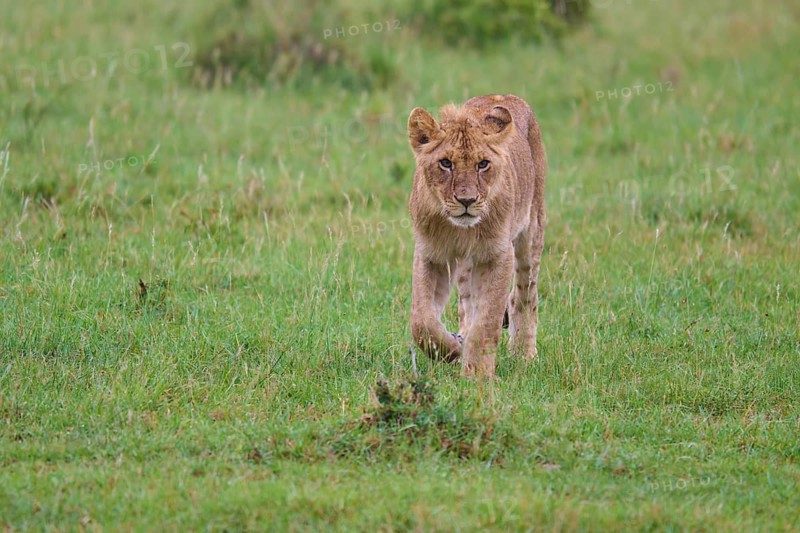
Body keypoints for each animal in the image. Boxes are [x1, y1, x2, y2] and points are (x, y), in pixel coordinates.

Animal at [407, 94, 546, 378]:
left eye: (482, 164)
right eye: (446, 163)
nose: (467, 200)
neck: (459, 229)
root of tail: (509, 96)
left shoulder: (498, 254)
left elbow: (487, 321)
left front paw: (477, 374)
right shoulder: (431, 254)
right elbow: (422, 322)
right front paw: (454, 350)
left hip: (531, 231)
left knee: (524, 296)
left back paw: (524, 354)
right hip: (466, 265)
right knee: (467, 305)